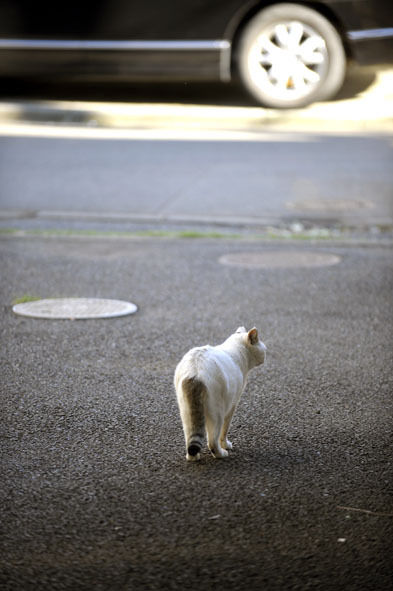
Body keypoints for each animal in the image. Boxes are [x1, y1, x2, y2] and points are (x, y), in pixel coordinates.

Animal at [175, 328, 266, 462]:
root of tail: (195, 372)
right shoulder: (233, 403)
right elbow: (225, 429)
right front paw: (225, 445)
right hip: (217, 412)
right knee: (212, 441)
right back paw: (221, 453)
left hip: (186, 411)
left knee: (190, 436)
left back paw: (193, 457)